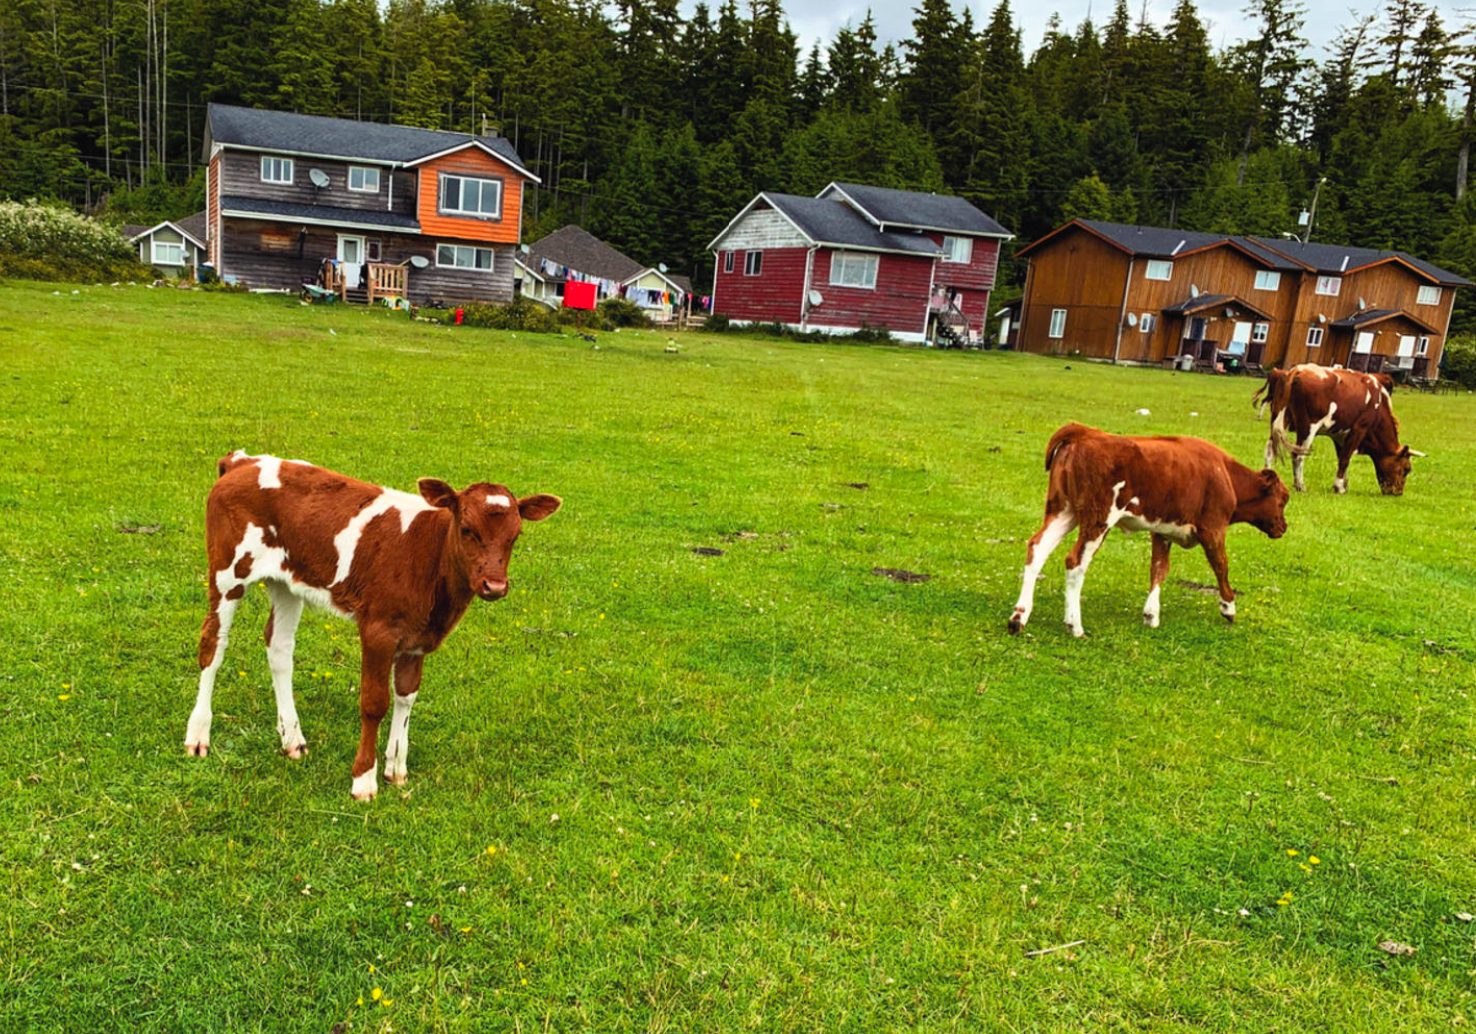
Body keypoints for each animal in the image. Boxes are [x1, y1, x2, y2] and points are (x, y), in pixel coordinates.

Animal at [181, 451, 554, 796]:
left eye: (515, 536)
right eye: (466, 529)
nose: (495, 586)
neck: (428, 555)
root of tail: (243, 460)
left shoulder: (418, 639)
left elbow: (406, 696)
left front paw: (396, 768)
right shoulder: (378, 630)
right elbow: (374, 703)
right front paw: (363, 779)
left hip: (287, 581)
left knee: (279, 648)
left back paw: (292, 739)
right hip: (228, 571)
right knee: (213, 644)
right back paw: (198, 735)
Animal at [1009, 421, 1287, 637]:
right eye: (1284, 499)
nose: (1284, 527)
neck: (1226, 474)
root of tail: (1086, 432)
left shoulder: (1163, 531)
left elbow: (1159, 569)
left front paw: (1151, 614)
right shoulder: (1213, 529)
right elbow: (1221, 566)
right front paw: (1228, 607)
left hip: (1063, 511)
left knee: (1037, 548)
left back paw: (1019, 617)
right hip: (1099, 519)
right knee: (1075, 562)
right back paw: (1074, 625)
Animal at [1251, 364, 1422, 492]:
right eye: (1406, 469)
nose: (1398, 493)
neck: (1378, 405)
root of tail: (1297, 370)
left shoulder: (1339, 435)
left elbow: (1342, 457)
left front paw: (1344, 484)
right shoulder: (1359, 429)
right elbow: (1345, 458)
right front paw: (1339, 486)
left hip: (1279, 419)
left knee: (1271, 448)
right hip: (1308, 427)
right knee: (1298, 454)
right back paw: (1300, 485)